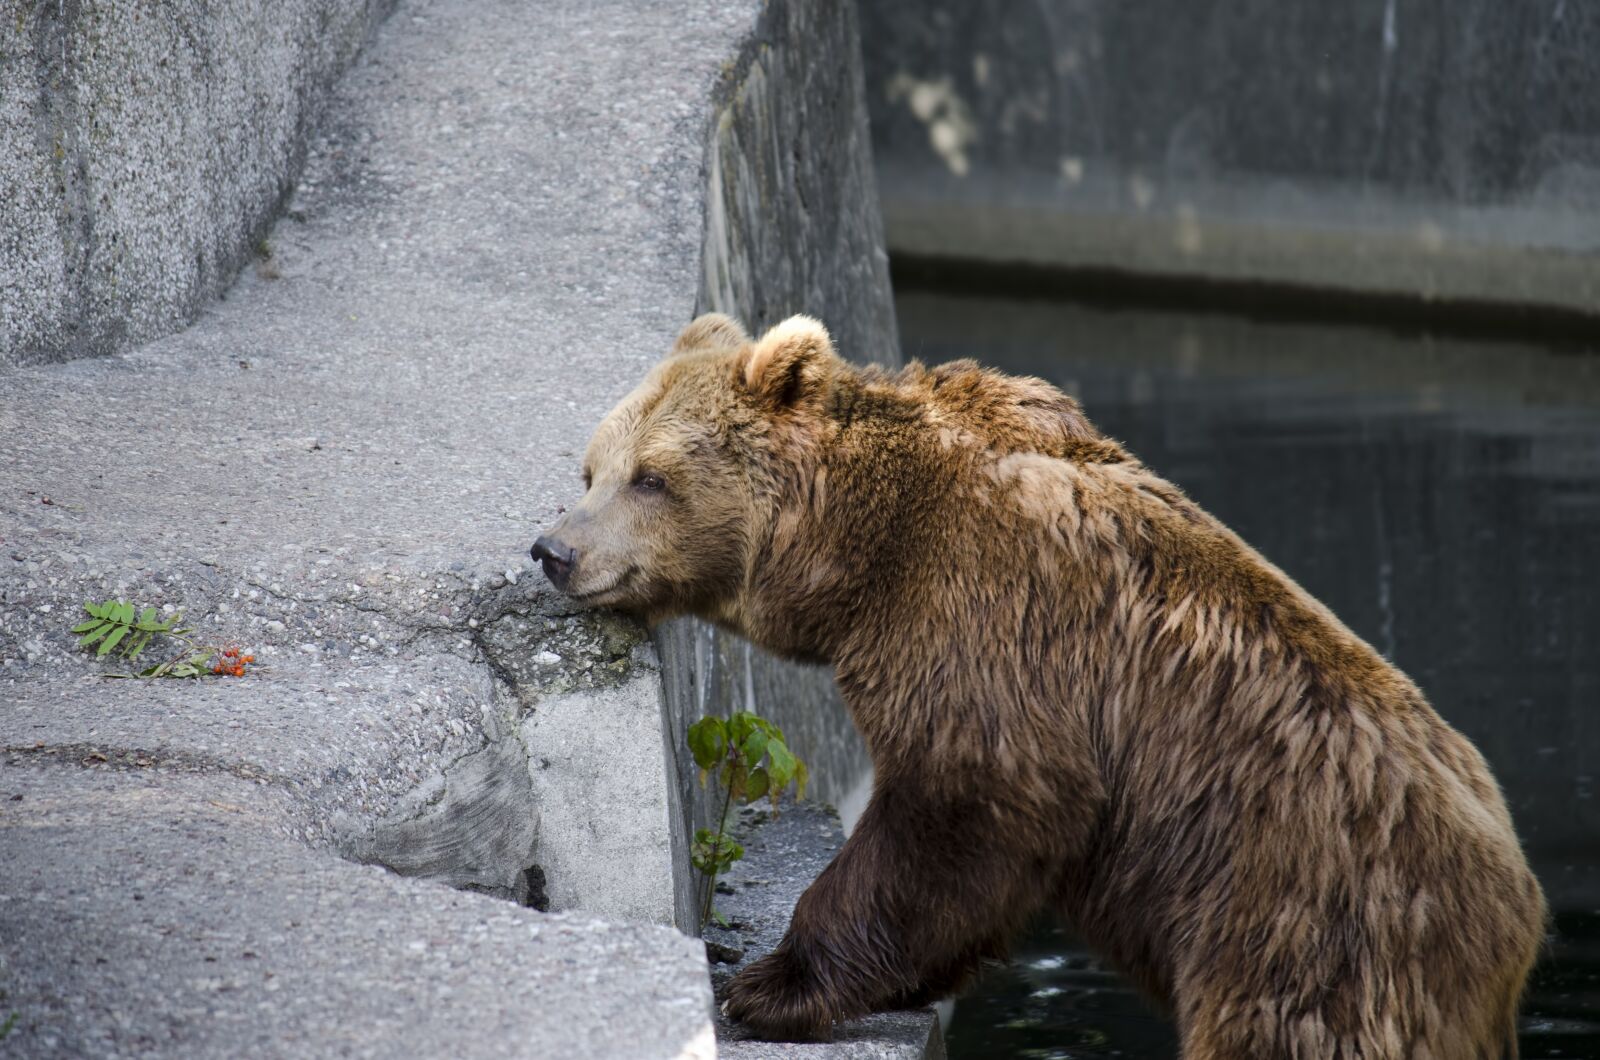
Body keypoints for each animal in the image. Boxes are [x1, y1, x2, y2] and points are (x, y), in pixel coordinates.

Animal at [532, 312, 1546, 1057]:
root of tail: (1519, 912)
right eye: (590, 469)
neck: (864, 556)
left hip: (1306, 927)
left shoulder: (991, 626)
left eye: (651, 478)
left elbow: (965, 809)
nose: (554, 549)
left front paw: (767, 983)